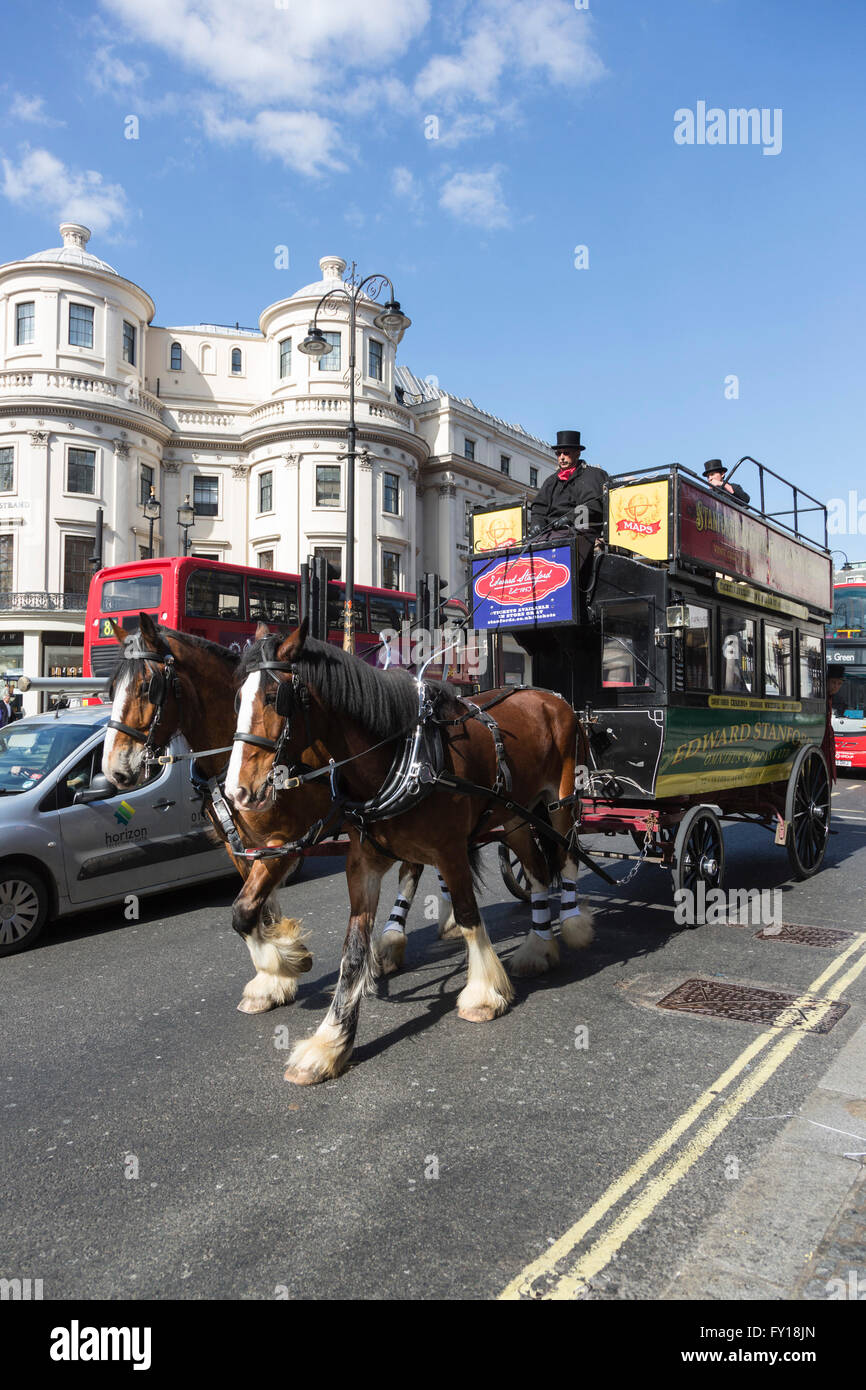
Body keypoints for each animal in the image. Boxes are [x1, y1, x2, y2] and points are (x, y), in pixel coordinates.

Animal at [225, 622, 594, 1084]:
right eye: (236, 698)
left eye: (277, 698)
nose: (237, 792)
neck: (400, 756)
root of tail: (548, 696)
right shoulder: (360, 862)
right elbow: (351, 951)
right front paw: (330, 1042)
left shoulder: (450, 850)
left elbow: (469, 916)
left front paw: (483, 993)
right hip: (515, 816)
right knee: (540, 870)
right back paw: (538, 948)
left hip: (562, 802)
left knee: (567, 858)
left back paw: (574, 924)